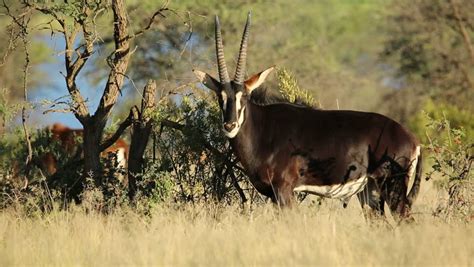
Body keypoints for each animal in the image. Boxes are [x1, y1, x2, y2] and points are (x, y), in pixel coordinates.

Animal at [193, 12, 422, 220]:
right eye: (220, 96)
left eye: (245, 96)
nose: (230, 125)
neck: (263, 129)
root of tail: (412, 139)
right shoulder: (273, 195)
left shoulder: (284, 190)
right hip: (370, 191)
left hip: (392, 186)